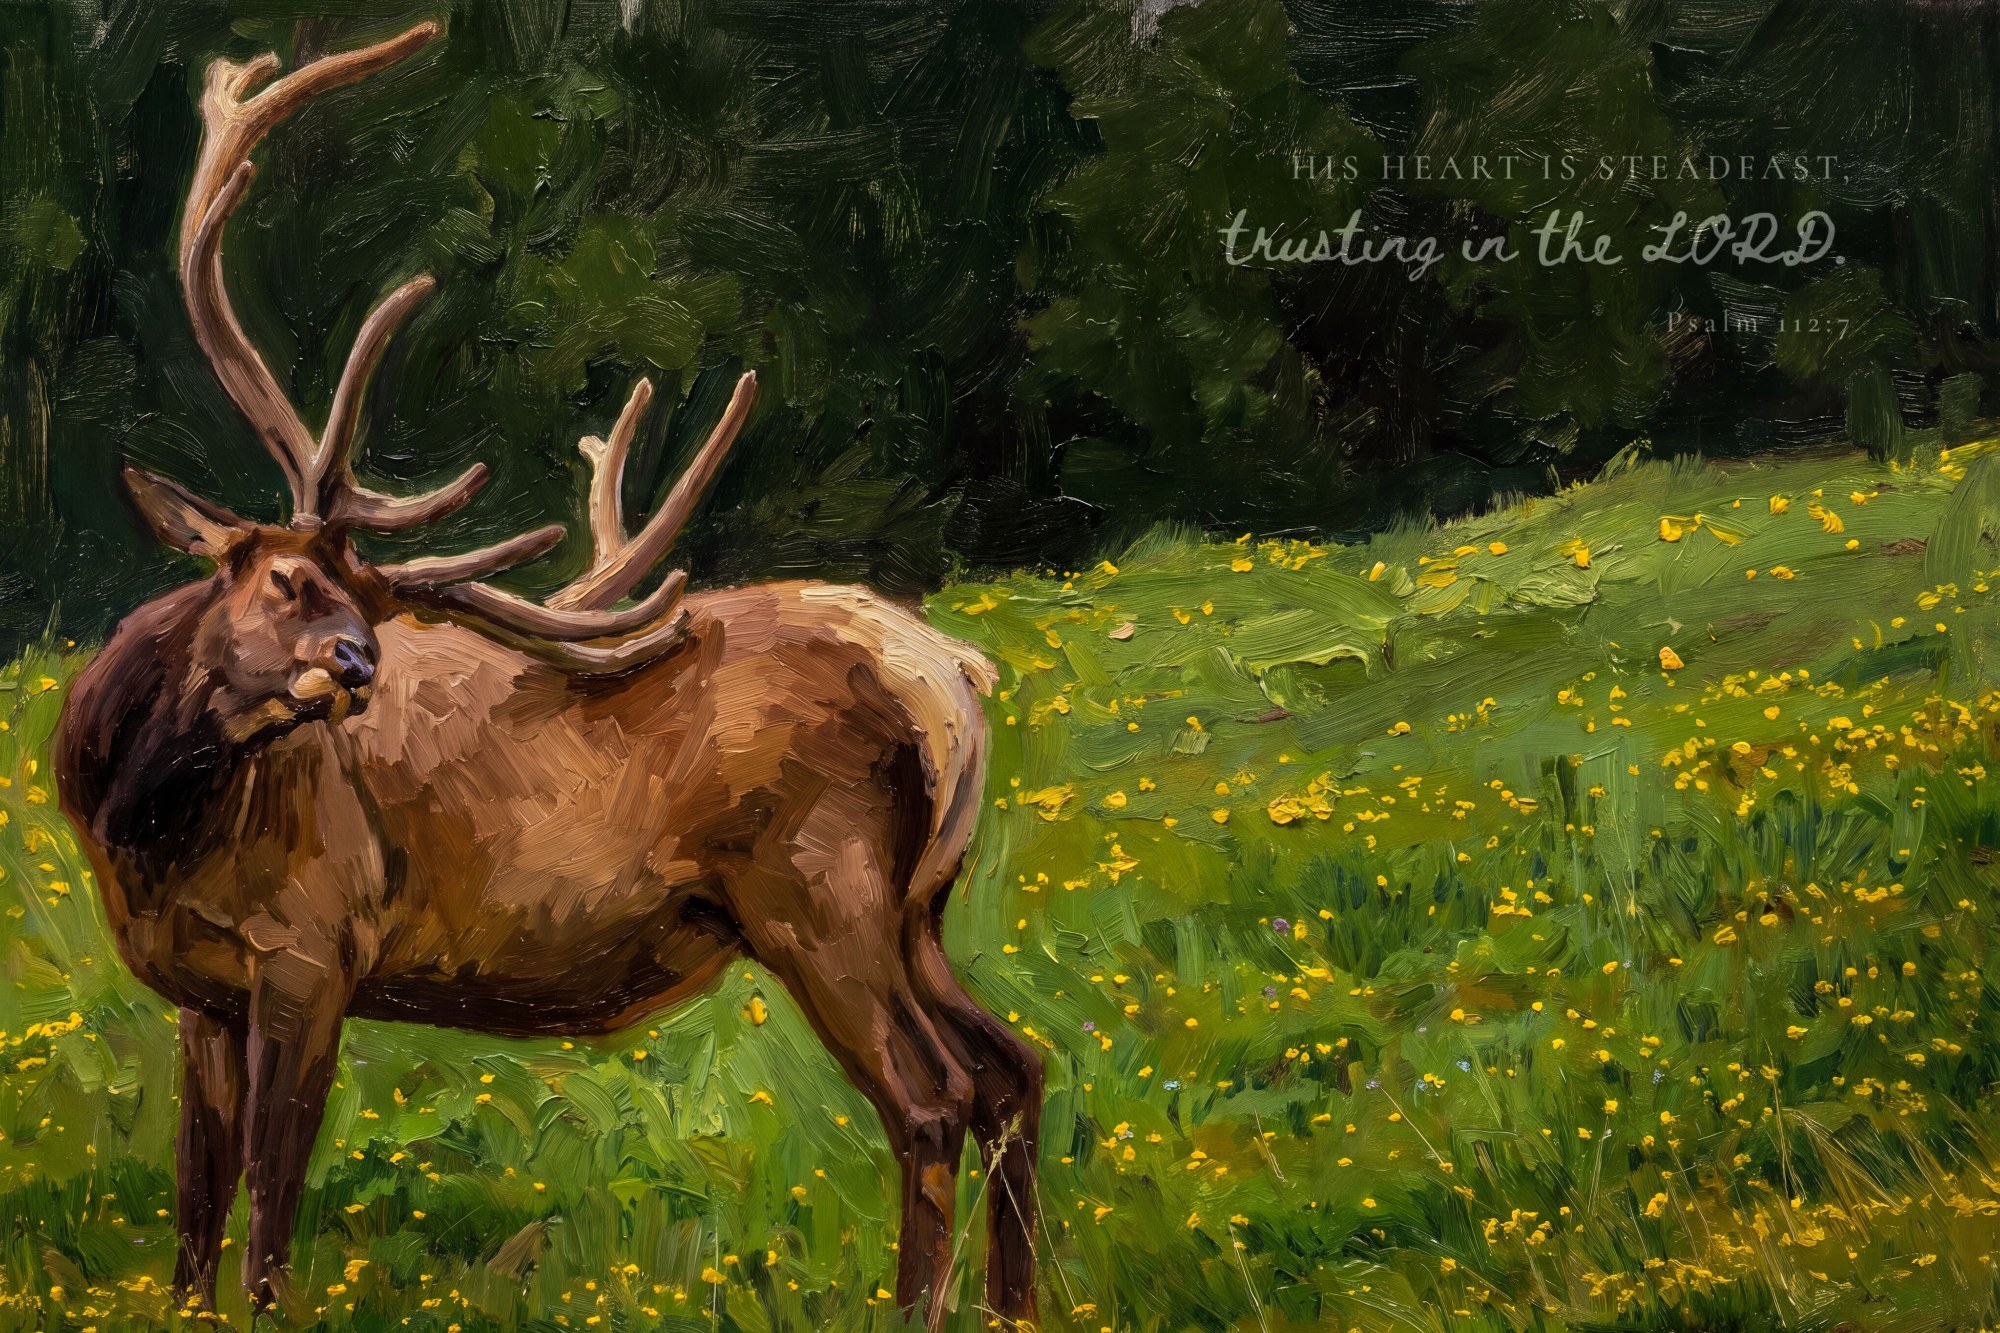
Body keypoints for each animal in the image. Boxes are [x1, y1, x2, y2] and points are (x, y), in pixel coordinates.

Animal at [51, 22, 1040, 1331]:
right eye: (284, 579)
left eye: (366, 600)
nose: (357, 664)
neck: (139, 820)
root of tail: (953, 677)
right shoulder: (199, 990)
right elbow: (193, 1196)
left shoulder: (315, 946)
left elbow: (268, 1189)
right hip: (916, 905)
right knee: (1012, 1066)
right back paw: (1022, 1304)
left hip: (820, 884)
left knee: (931, 1097)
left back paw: (916, 1306)